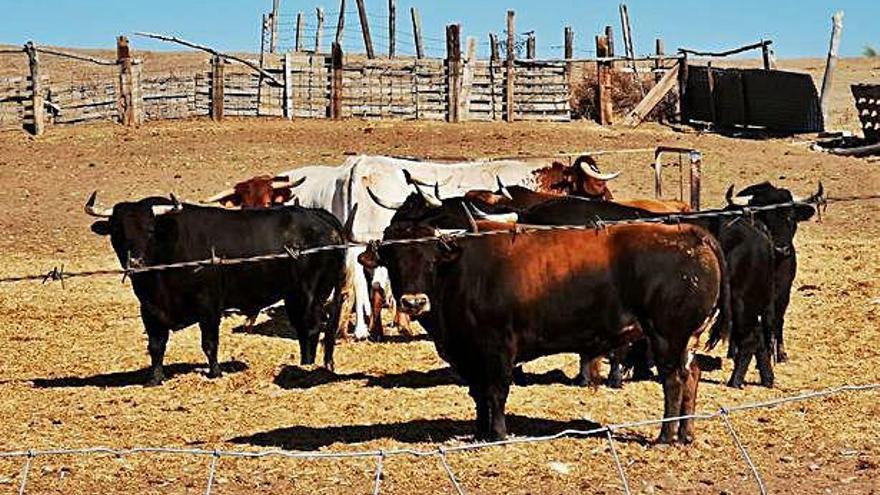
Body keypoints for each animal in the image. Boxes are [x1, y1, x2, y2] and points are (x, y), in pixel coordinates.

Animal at [86, 194, 350, 388]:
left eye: (150, 230)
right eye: (118, 231)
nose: (136, 263)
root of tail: (318, 215)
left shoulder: (209, 304)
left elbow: (209, 342)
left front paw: (214, 372)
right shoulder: (149, 309)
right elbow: (156, 345)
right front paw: (155, 378)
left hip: (311, 293)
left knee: (313, 327)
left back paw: (307, 366)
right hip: (294, 296)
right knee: (304, 329)